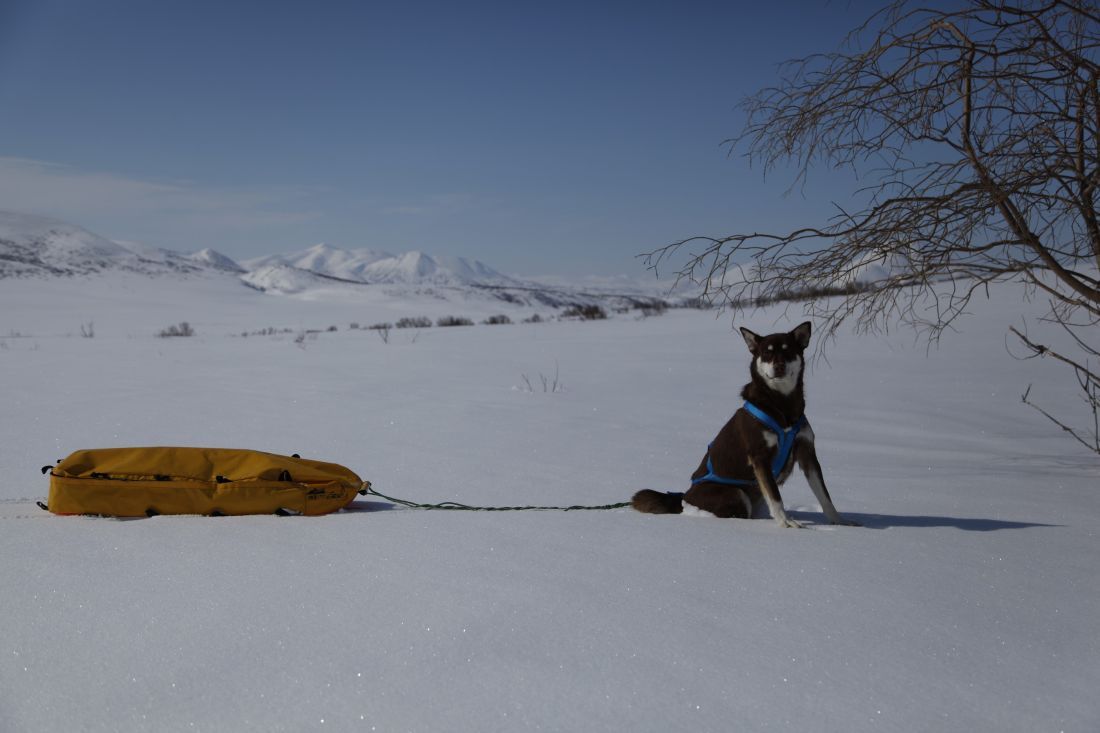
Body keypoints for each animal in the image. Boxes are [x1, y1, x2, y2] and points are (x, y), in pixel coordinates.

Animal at [633, 319, 853, 526]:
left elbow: (824, 495)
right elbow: (775, 496)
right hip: (735, 494)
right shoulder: (760, 457)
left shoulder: (807, 453)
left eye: (788, 351)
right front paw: (786, 522)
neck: (782, 405)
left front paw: (840, 522)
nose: (779, 366)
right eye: (766, 353)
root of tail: (684, 498)